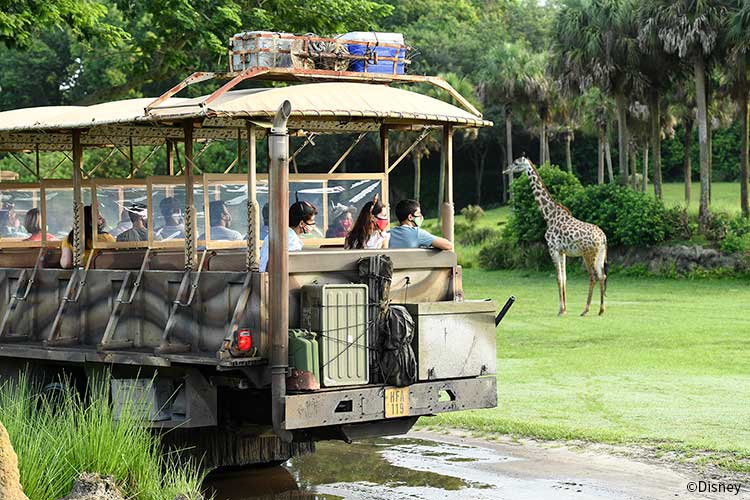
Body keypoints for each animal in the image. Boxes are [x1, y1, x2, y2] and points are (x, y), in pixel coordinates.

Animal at [508, 156, 608, 316]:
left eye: (516, 163)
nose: (506, 170)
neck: (549, 216)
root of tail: (603, 237)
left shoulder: (553, 248)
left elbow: (558, 277)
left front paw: (561, 310)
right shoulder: (562, 252)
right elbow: (564, 277)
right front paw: (564, 309)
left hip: (588, 254)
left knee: (593, 276)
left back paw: (585, 310)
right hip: (600, 254)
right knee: (602, 276)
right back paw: (601, 310)